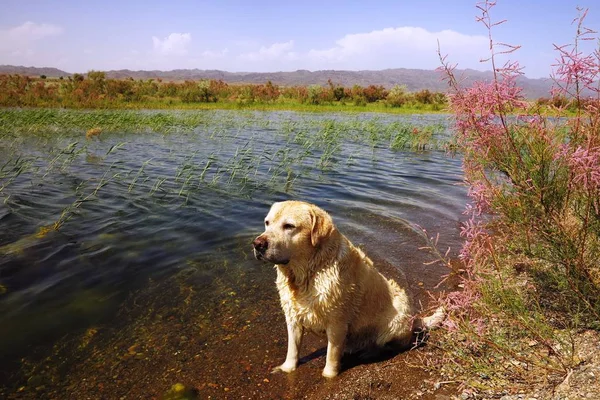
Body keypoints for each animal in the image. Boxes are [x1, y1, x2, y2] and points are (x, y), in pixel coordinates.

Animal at [251, 200, 442, 378]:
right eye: (267, 223)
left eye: (289, 226)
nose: (257, 244)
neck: (307, 275)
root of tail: (415, 318)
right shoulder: (293, 318)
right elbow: (292, 349)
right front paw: (287, 369)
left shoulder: (337, 322)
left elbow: (332, 355)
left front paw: (329, 375)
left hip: (396, 318)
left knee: (389, 344)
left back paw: (369, 352)